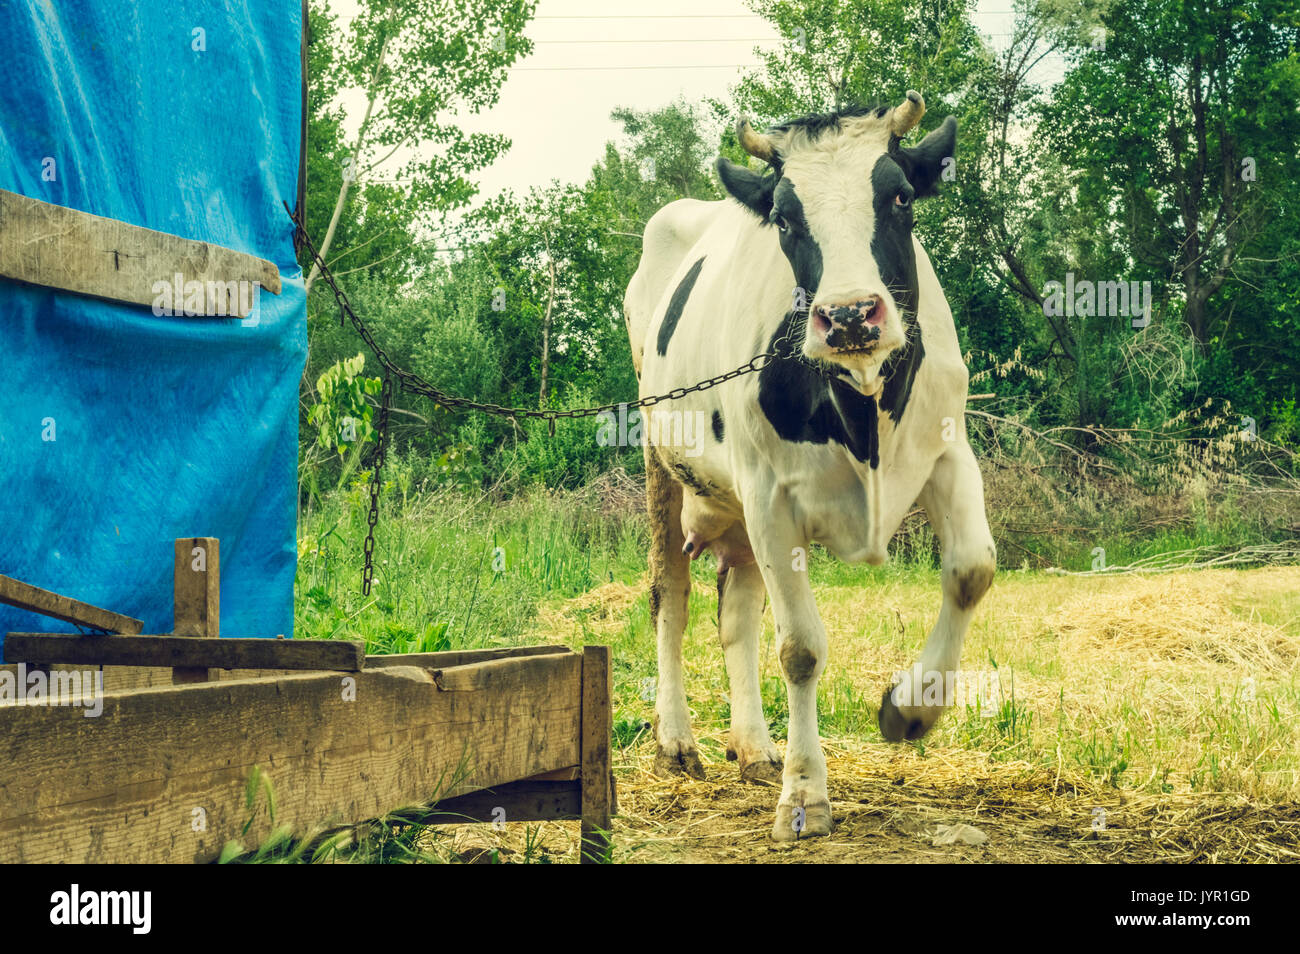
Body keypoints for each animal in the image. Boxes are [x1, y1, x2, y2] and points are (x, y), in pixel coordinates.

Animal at [623, 92, 996, 841]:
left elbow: (972, 571)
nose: (849, 315)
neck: (860, 411)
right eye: (787, 218)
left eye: (900, 195)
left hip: (734, 501)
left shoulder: (948, 451)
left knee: (736, 611)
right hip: (663, 465)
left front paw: (911, 709)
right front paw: (804, 796)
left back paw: (754, 747)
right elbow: (799, 648)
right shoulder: (772, 496)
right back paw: (676, 741)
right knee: (670, 596)